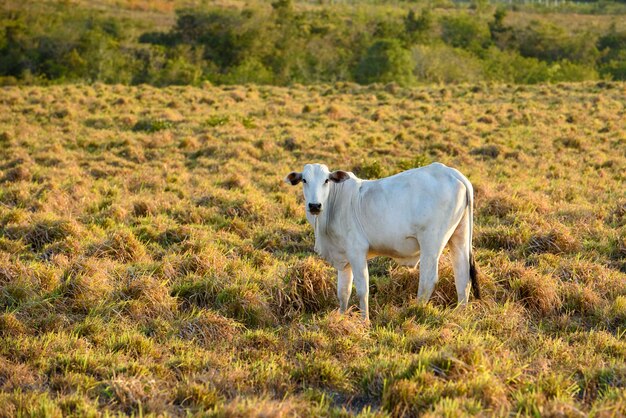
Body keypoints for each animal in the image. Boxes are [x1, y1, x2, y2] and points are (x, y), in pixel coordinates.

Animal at [286, 162, 480, 322]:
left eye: (326, 180)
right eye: (304, 180)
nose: (314, 205)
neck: (335, 204)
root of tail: (453, 173)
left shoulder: (357, 252)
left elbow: (362, 289)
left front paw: (364, 321)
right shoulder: (344, 259)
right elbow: (343, 292)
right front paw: (340, 317)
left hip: (431, 243)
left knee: (428, 279)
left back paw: (416, 310)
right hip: (459, 237)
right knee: (462, 277)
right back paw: (460, 314)